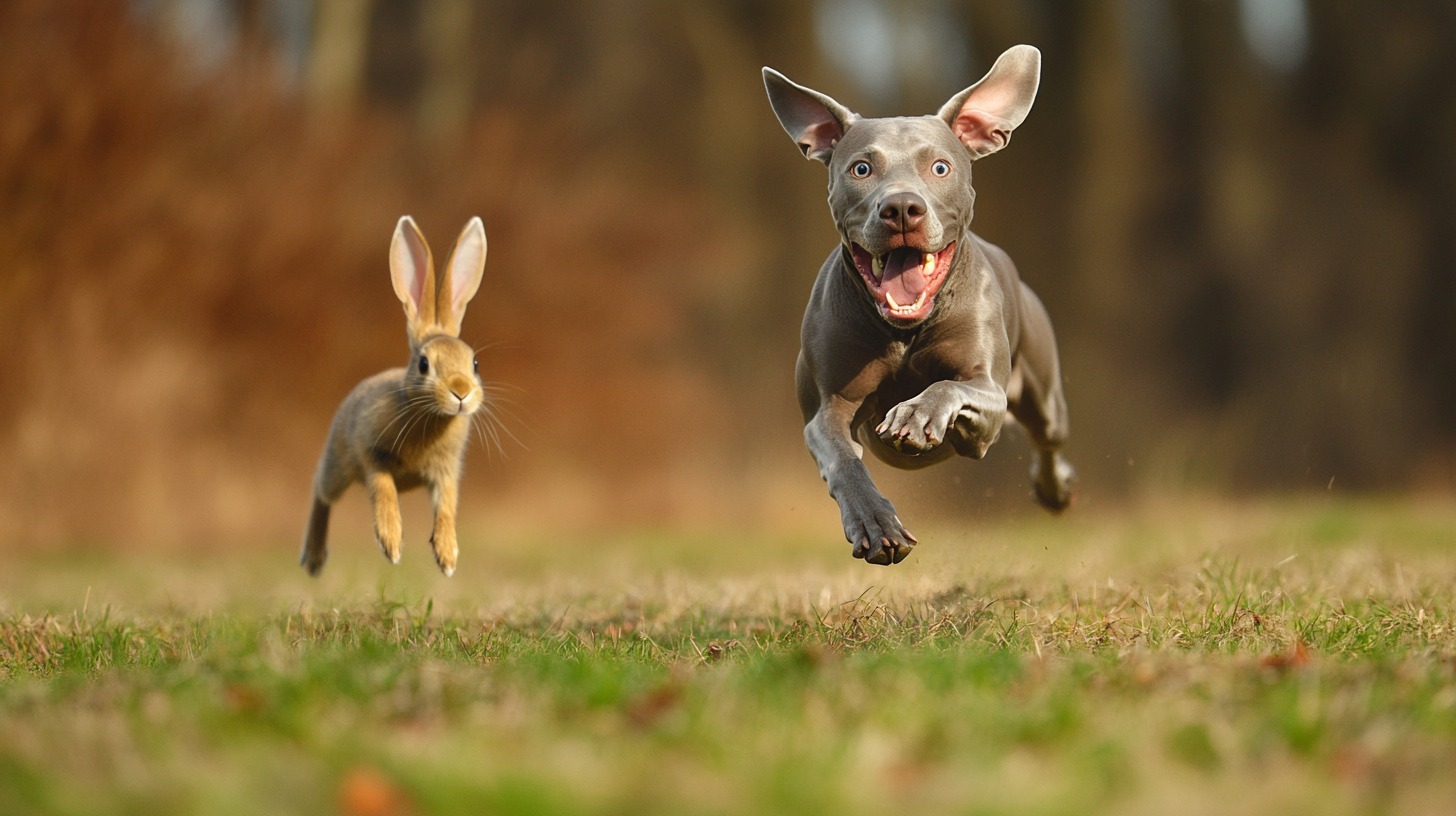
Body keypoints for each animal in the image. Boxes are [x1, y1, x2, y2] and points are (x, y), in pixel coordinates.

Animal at [301, 214, 489, 577]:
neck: (431, 416)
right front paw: (391, 543)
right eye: (424, 363)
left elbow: (446, 507)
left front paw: (447, 556)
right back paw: (313, 560)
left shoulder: (446, 473)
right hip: (339, 464)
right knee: (321, 489)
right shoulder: (372, 453)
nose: (461, 392)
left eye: (473, 362)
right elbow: (383, 489)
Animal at [768, 46, 1077, 568]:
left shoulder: (987, 401)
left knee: (1048, 438)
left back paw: (1055, 488)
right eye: (861, 169)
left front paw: (915, 414)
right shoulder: (826, 409)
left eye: (940, 167)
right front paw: (876, 525)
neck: (904, 331)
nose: (900, 209)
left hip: (1044, 393)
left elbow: (949, 387)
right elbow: (843, 461)